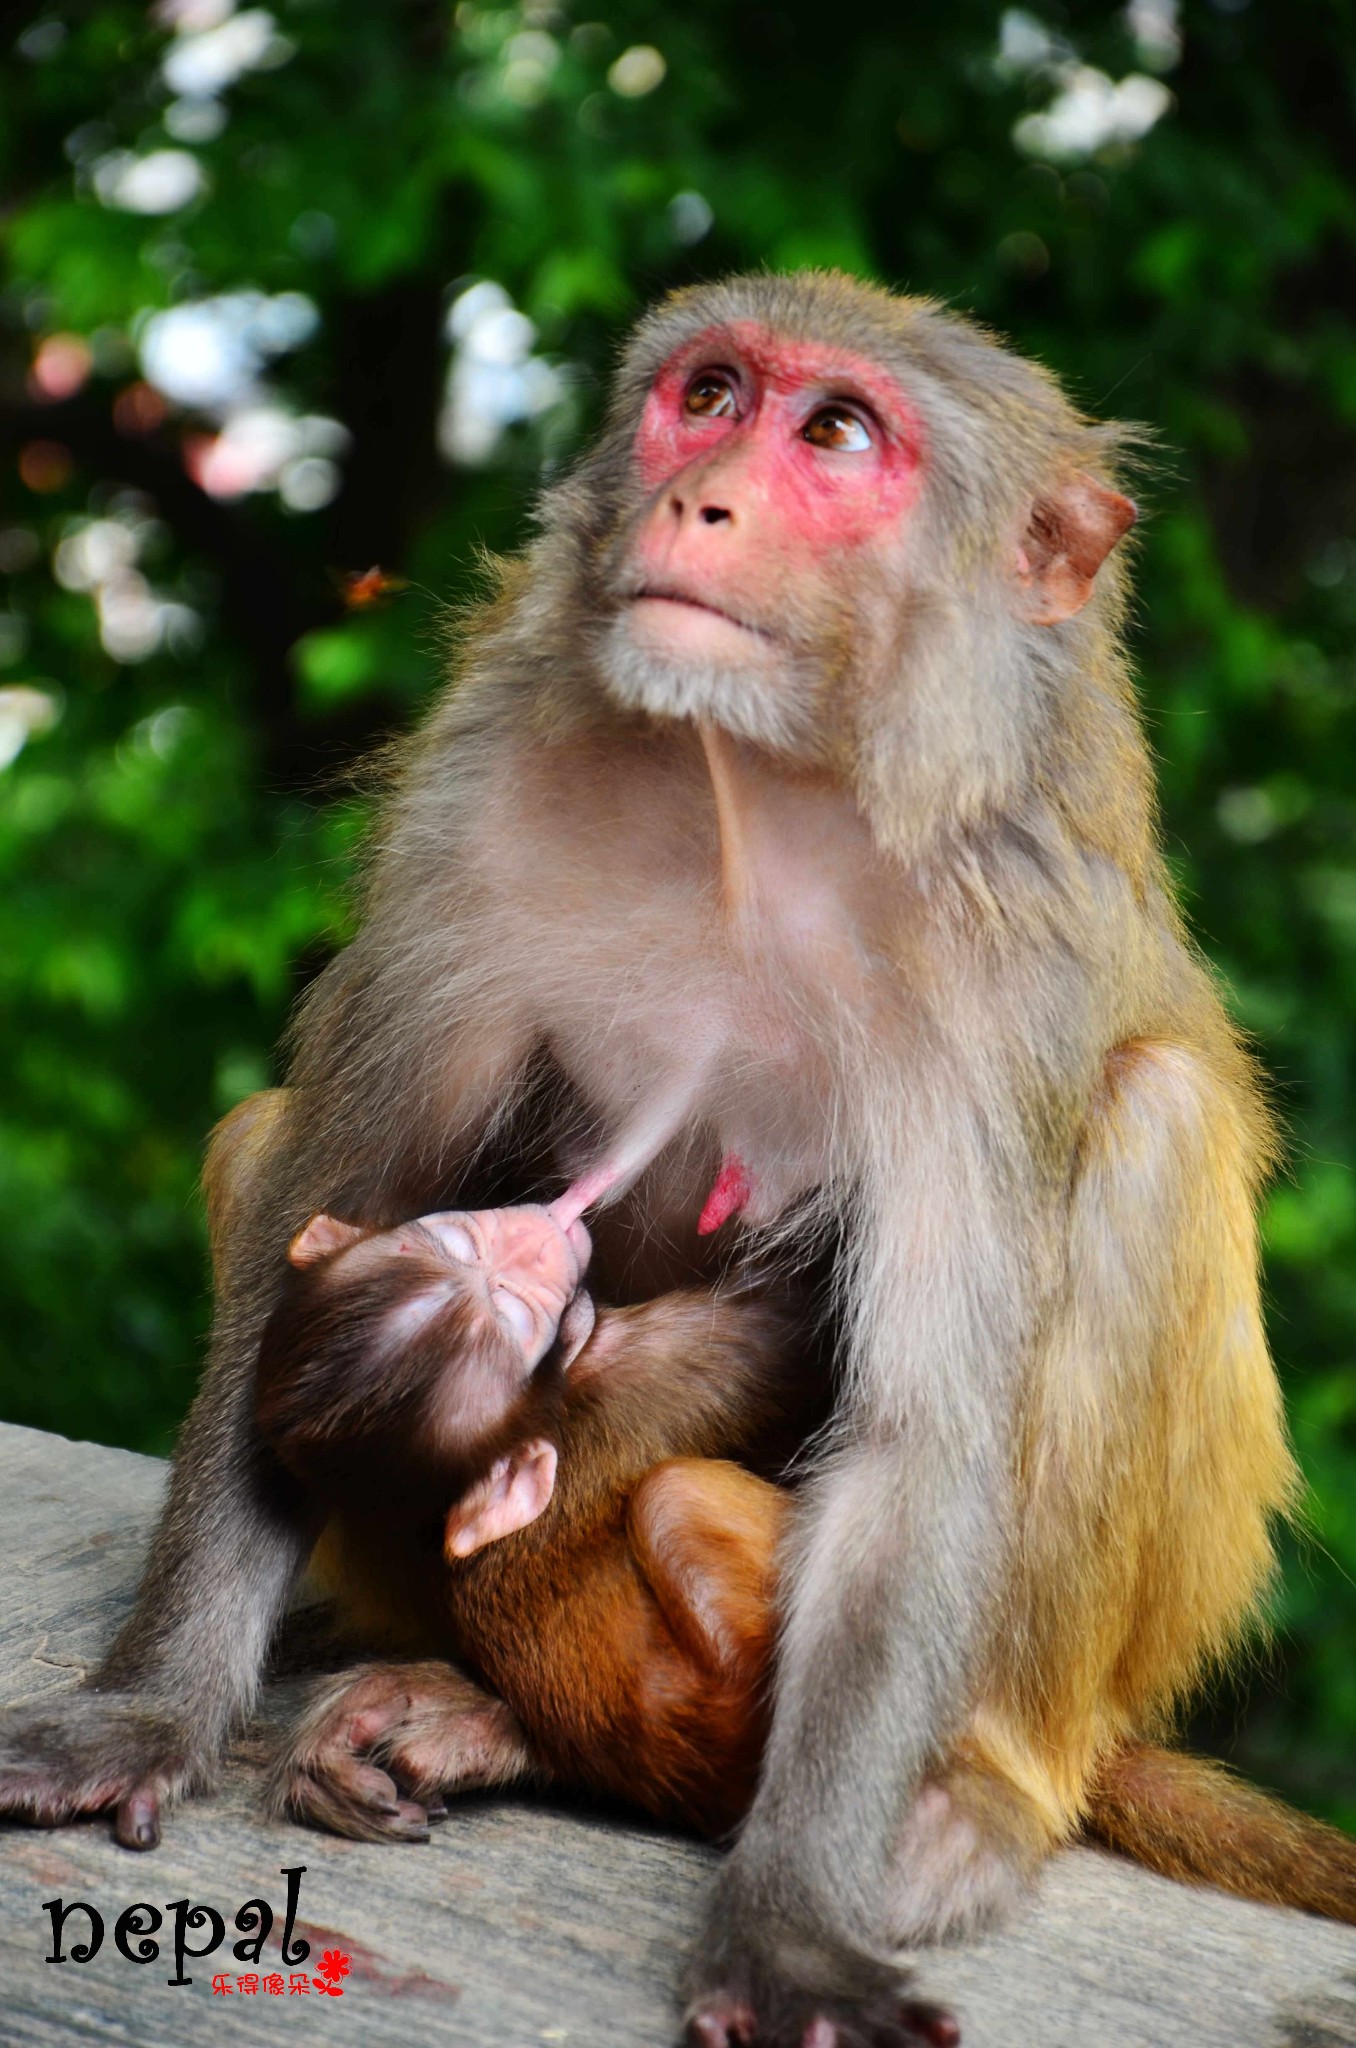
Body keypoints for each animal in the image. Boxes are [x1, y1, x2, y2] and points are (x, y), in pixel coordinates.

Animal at [256, 1196, 811, 1835]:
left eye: (461, 1239)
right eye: (523, 1320)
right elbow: (784, 1321)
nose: (531, 1245)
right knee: (671, 1495)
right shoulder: (655, 1364)